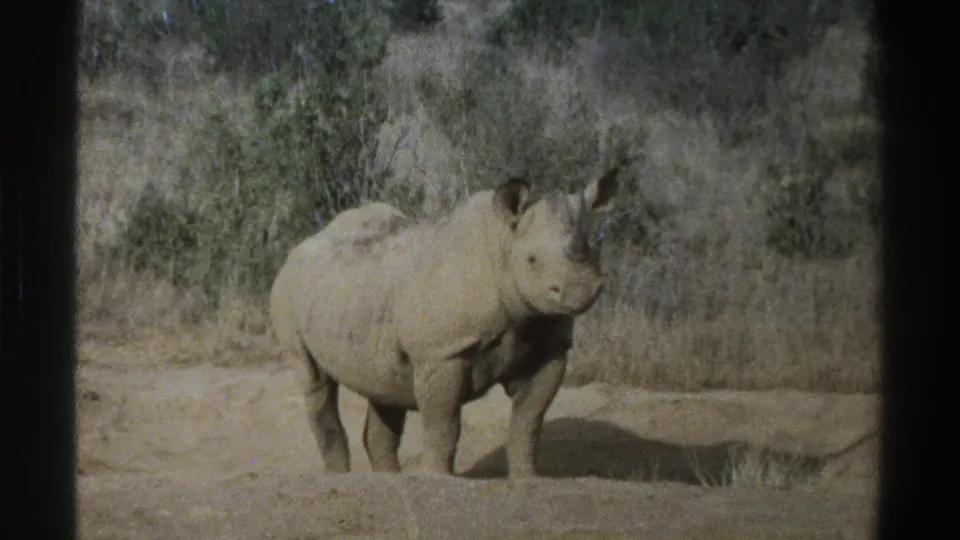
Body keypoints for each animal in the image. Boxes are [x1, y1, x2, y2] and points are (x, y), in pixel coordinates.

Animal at [269, 167, 621, 478]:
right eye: (532, 260)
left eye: (594, 252)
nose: (581, 289)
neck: (503, 244)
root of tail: (301, 246)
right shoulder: (443, 352)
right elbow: (444, 422)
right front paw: (439, 478)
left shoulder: (550, 345)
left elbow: (529, 421)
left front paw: (528, 479)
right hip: (287, 290)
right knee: (316, 382)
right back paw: (340, 476)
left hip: (354, 295)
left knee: (383, 386)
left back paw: (389, 480)